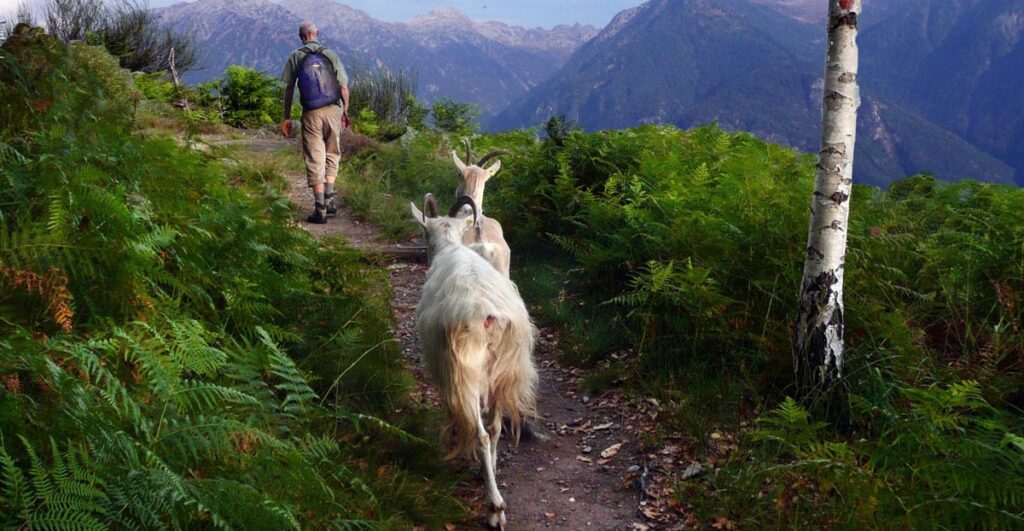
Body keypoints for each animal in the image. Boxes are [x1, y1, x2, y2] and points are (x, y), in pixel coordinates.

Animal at [411, 194, 540, 527]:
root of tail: (488, 316)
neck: (451, 247)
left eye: (424, 233)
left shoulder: (444, 368)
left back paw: (495, 508)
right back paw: (489, 472)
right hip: (505, 370)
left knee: (482, 432)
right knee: (493, 428)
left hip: (465, 370)